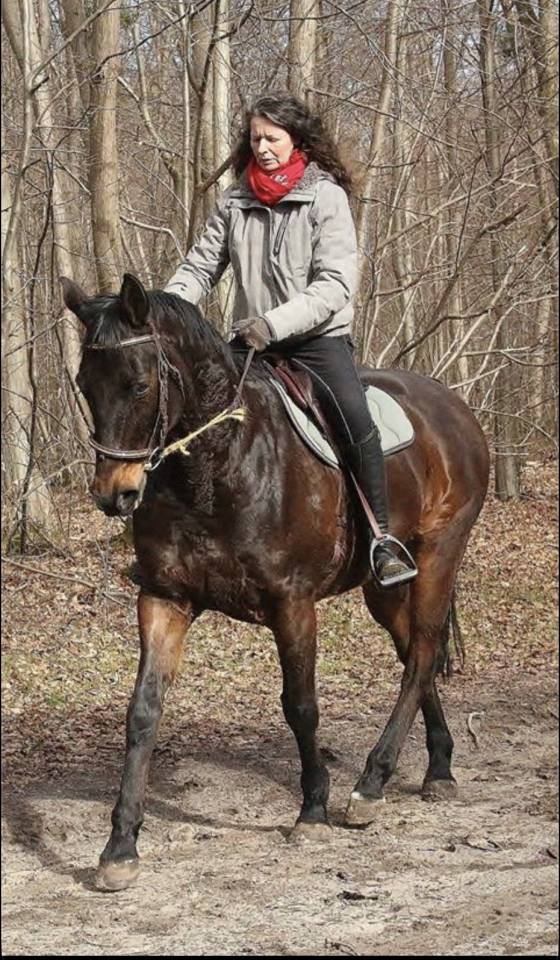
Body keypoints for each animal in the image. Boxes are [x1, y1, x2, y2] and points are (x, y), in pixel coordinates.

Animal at [61, 273, 490, 892]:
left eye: (139, 386)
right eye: (84, 386)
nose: (114, 494)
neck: (217, 466)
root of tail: (454, 407)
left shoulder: (292, 603)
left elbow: (301, 705)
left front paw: (312, 810)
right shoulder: (165, 598)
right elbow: (143, 711)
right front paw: (120, 847)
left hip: (439, 554)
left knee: (423, 653)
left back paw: (371, 783)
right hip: (382, 588)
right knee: (416, 651)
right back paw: (438, 767)